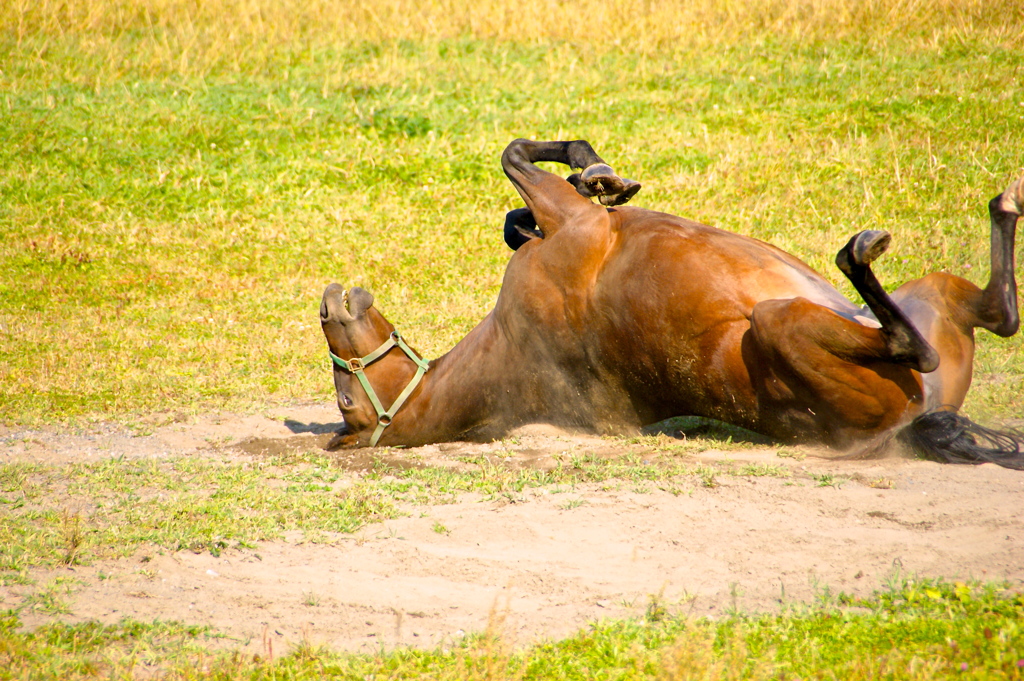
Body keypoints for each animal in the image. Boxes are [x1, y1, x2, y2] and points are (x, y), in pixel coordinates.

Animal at [319, 138, 1024, 466]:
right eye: (346, 402)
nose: (328, 303)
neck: (517, 350)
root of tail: (914, 421)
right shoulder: (571, 221)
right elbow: (514, 155)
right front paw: (597, 172)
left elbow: (515, 206)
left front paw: (594, 172)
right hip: (785, 321)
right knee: (926, 338)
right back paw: (868, 250)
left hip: (931, 292)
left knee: (996, 312)